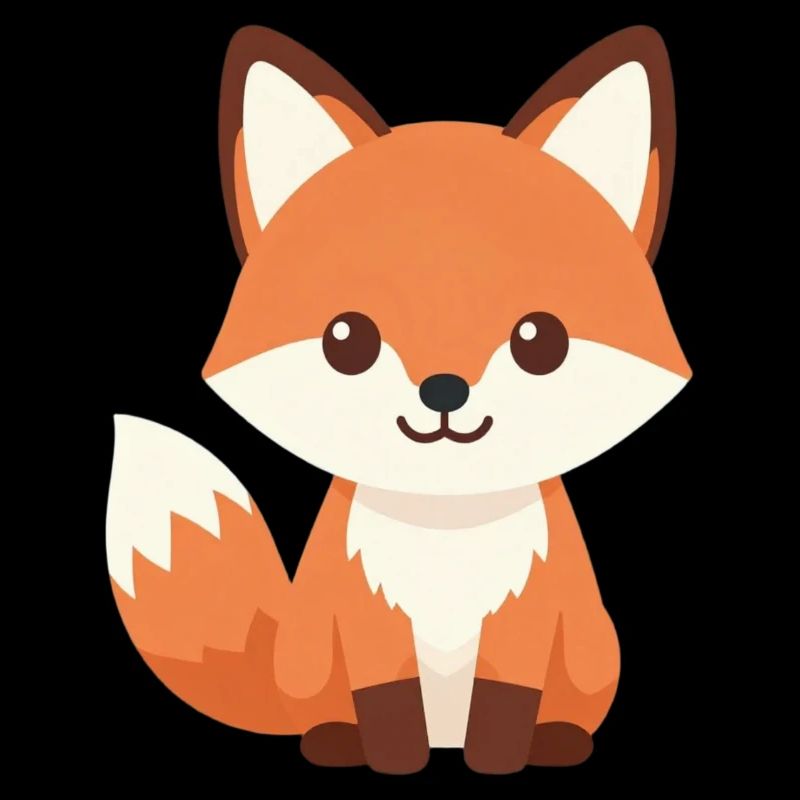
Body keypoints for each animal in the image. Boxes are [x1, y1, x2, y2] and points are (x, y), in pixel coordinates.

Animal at [106, 25, 691, 774]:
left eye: (540, 340)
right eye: (347, 339)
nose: (444, 390)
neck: (443, 528)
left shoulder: (528, 621)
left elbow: (507, 702)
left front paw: (498, 759)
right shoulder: (364, 620)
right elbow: (384, 698)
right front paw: (391, 759)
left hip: (593, 651)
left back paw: (557, 741)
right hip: (306, 655)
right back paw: (333, 740)